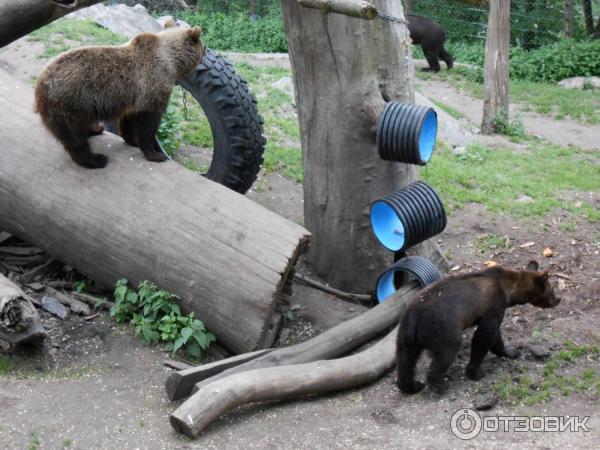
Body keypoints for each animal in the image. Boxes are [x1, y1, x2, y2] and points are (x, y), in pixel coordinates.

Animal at [34, 26, 204, 171]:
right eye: (204, 47)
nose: (205, 53)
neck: (171, 62)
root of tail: (39, 85)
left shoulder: (133, 96)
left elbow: (129, 119)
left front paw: (132, 140)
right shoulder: (152, 85)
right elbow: (148, 122)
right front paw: (155, 154)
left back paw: (95, 129)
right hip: (70, 102)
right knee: (75, 138)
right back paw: (96, 159)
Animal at [396, 260, 560, 394]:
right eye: (552, 289)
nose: (558, 299)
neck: (508, 291)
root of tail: (415, 318)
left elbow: (495, 336)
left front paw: (511, 352)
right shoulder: (494, 305)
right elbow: (484, 336)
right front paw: (475, 372)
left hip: (405, 333)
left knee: (405, 360)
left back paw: (412, 386)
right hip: (442, 328)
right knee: (447, 351)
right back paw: (439, 385)